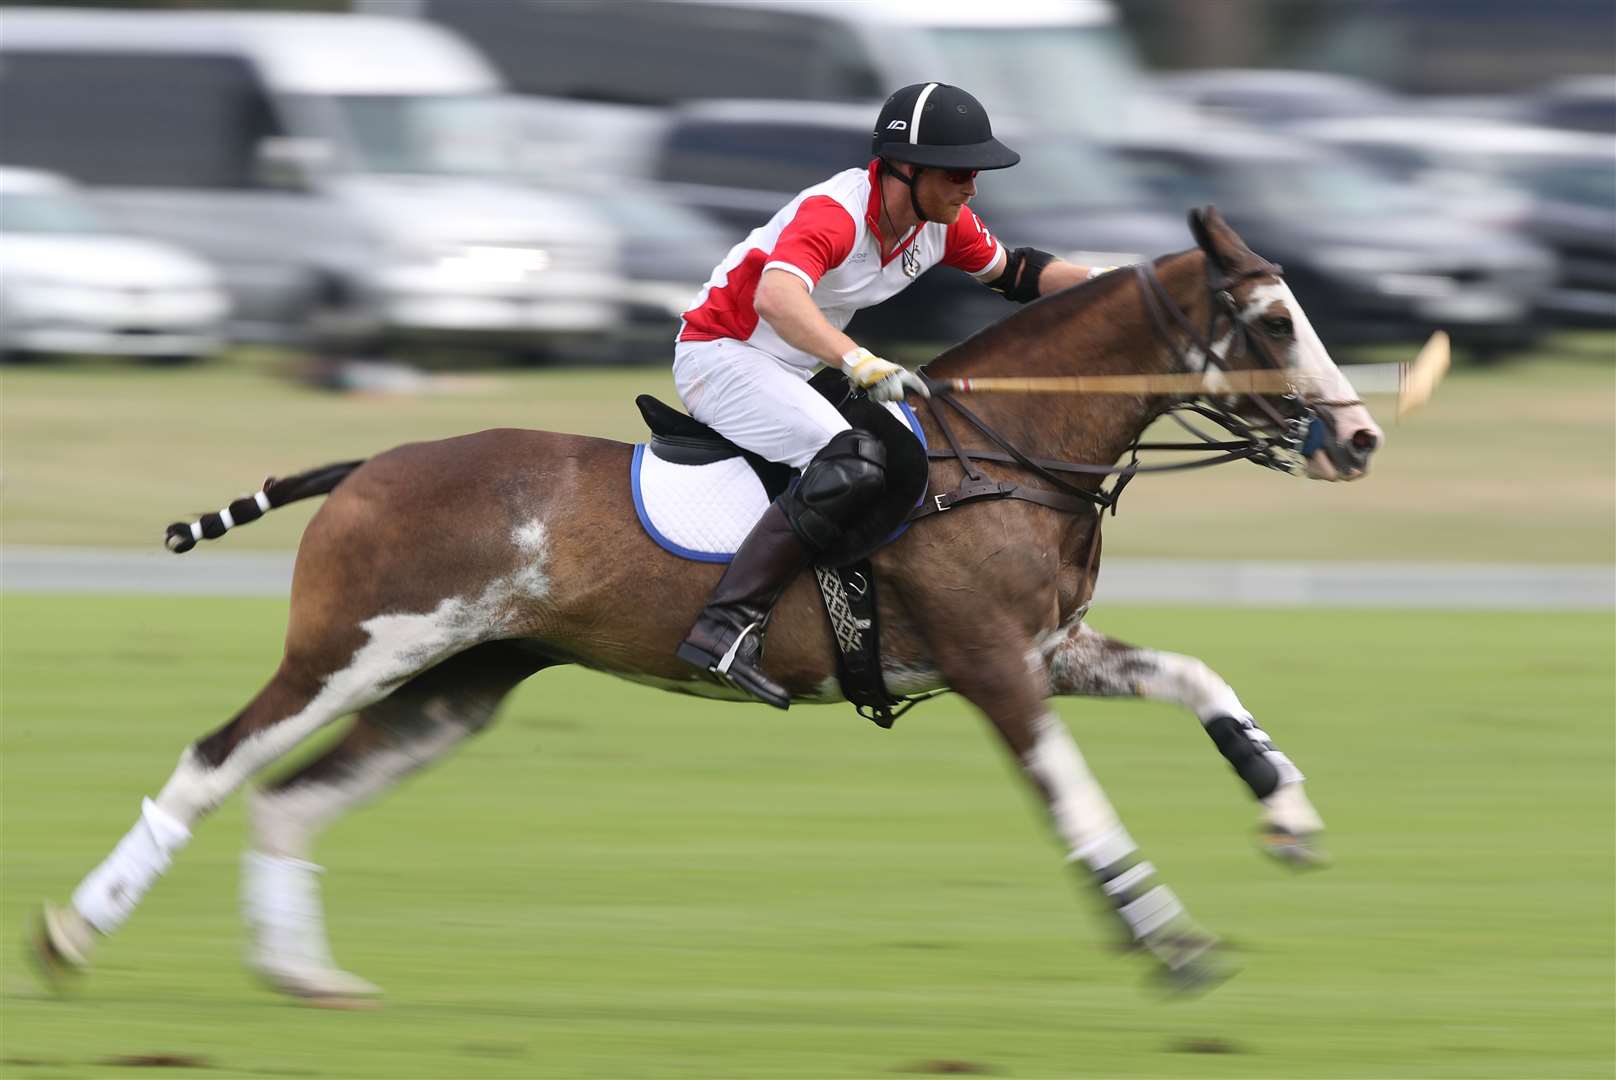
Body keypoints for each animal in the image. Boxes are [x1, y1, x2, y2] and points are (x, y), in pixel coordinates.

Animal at [34, 208, 1376, 1002]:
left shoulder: (1044, 648)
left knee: (289, 798)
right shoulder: (994, 663)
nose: (1358, 439)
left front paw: (1284, 811)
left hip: (453, 688)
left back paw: (303, 977)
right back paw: (71, 934)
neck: (1001, 450)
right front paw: (1169, 940)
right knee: (214, 762)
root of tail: (365, 465)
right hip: (351, 649)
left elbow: (1197, 676)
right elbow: (1076, 799)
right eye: (1270, 321)